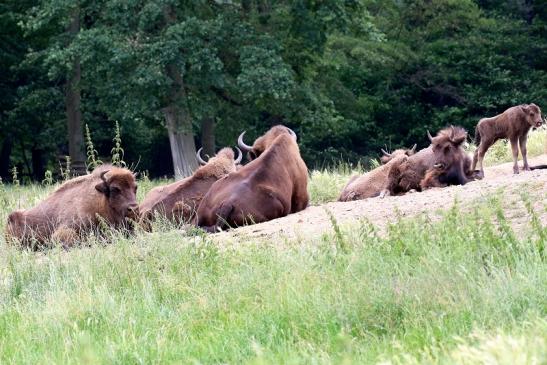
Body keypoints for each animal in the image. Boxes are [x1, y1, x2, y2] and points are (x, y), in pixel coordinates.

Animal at [5, 164, 138, 247]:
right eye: (115, 189)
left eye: (135, 188)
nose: (133, 209)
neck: (100, 202)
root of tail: (9, 218)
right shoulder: (63, 231)